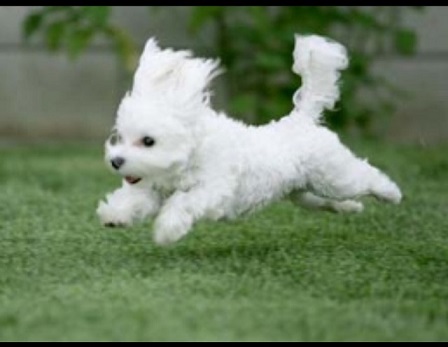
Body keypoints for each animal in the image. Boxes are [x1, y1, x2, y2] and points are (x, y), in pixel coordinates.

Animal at [95, 32, 402, 245]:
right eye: (119, 137)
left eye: (148, 141)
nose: (116, 161)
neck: (191, 154)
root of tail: (301, 119)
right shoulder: (154, 187)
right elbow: (136, 199)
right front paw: (115, 215)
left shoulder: (214, 188)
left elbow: (183, 202)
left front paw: (167, 230)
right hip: (304, 191)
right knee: (328, 201)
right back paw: (352, 207)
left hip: (333, 175)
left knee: (365, 177)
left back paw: (391, 194)